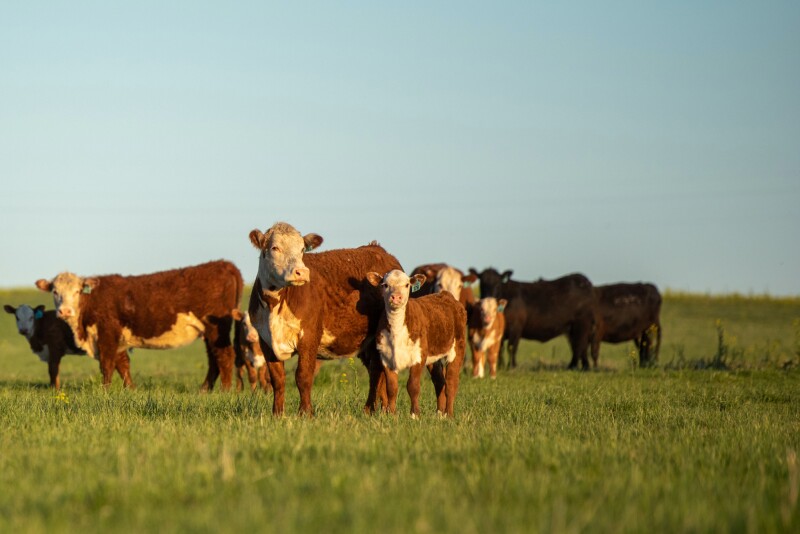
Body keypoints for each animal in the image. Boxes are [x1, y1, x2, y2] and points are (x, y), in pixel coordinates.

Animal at [35, 260, 243, 390]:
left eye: (78, 291)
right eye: (55, 291)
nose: (65, 311)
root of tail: (223, 264)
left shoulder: (107, 334)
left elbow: (107, 365)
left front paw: (105, 391)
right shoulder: (117, 338)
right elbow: (123, 365)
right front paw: (131, 389)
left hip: (217, 328)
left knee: (224, 355)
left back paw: (225, 391)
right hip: (208, 331)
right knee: (213, 359)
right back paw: (205, 390)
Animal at [247, 221, 402, 416]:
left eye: (302, 249)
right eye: (275, 247)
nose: (301, 272)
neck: (273, 306)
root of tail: (377, 249)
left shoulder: (310, 335)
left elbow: (303, 376)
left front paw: (305, 413)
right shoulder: (265, 340)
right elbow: (277, 379)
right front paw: (277, 414)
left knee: (377, 371)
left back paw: (371, 410)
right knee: (377, 370)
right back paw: (379, 410)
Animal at [366, 270, 467, 417]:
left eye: (407, 284)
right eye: (385, 285)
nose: (396, 297)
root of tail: (446, 295)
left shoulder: (418, 356)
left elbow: (413, 386)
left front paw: (414, 414)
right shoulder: (386, 357)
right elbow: (392, 387)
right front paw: (392, 414)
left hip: (457, 347)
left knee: (451, 382)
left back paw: (449, 415)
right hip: (433, 356)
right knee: (439, 381)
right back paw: (439, 414)